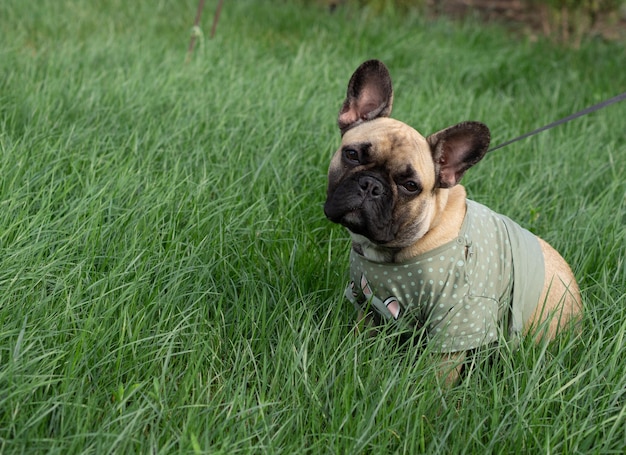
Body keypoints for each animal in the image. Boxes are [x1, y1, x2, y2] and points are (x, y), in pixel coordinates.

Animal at [322, 58, 580, 382]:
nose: (371, 185)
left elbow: (437, 379)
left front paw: (427, 395)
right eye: (352, 155)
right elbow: (360, 338)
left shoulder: (456, 322)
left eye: (410, 186)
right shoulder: (368, 303)